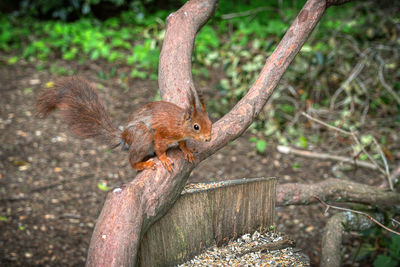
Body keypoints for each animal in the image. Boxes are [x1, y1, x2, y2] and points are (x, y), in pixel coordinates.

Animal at [36, 76, 212, 172]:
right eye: (196, 126)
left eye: (210, 122)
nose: (208, 138)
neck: (180, 124)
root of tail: (124, 136)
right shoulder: (163, 132)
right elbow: (160, 146)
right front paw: (164, 159)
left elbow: (182, 143)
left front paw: (187, 150)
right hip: (142, 135)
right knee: (132, 160)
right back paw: (141, 165)